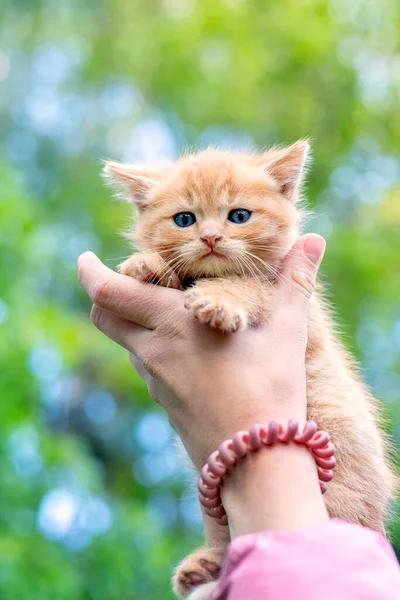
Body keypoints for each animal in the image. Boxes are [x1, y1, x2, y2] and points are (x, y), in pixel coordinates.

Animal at [103, 142, 394, 600]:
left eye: (239, 216)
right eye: (184, 219)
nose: (210, 237)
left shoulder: (285, 300)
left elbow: (247, 285)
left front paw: (218, 300)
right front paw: (147, 266)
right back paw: (204, 565)